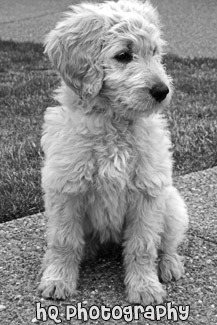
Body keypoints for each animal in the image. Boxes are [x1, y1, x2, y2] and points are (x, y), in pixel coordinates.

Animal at [38, 0, 189, 304]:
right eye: (123, 55)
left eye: (154, 52)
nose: (163, 91)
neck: (114, 123)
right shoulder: (65, 189)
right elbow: (63, 241)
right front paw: (58, 279)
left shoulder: (147, 192)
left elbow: (143, 246)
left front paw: (144, 287)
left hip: (172, 207)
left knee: (166, 243)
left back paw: (170, 265)